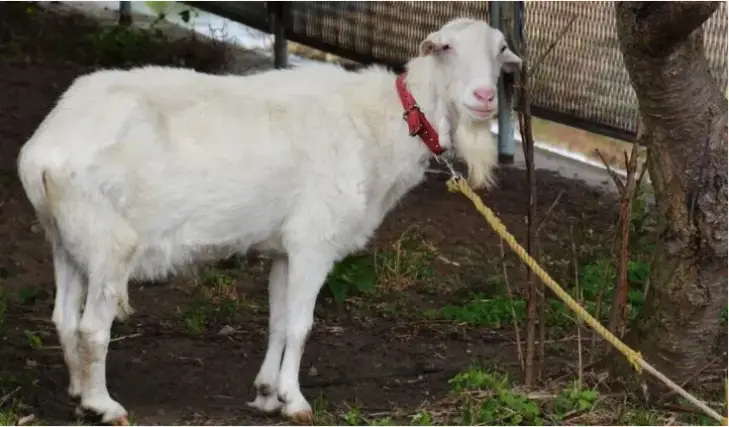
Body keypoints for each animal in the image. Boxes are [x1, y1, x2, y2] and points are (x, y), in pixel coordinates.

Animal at [15, 17, 516, 427]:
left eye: (500, 50)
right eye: (446, 48)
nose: (485, 98)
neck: (387, 122)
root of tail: (43, 149)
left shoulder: (284, 248)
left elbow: (278, 321)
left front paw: (266, 393)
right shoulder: (314, 240)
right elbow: (301, 324)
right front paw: (294, 401)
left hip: (67, 236)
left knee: (64, 317)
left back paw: (79, 393)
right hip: (108, 242)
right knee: (92, 328)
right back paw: (104, 405)